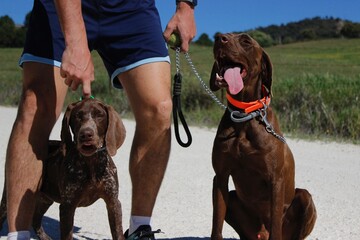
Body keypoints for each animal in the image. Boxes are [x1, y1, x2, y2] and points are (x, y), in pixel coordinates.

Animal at [0, 98, 126, 240]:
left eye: (99, 115)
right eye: (77, 116)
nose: (86, 134)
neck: (91, 163)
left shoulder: (113, 202)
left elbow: (118, 233)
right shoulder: (67, 206)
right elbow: (67, 235)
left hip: (46, 198)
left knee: (35, 219)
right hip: (10, 198)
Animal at [210, 33, 316, 240]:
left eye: (246, 41)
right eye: (221, 36)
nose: (219, 38)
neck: (245, 116)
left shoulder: (275, 180)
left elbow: (275, 222)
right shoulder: (220, 176)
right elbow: (216, 225)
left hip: (305, 199)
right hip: (235, 201)